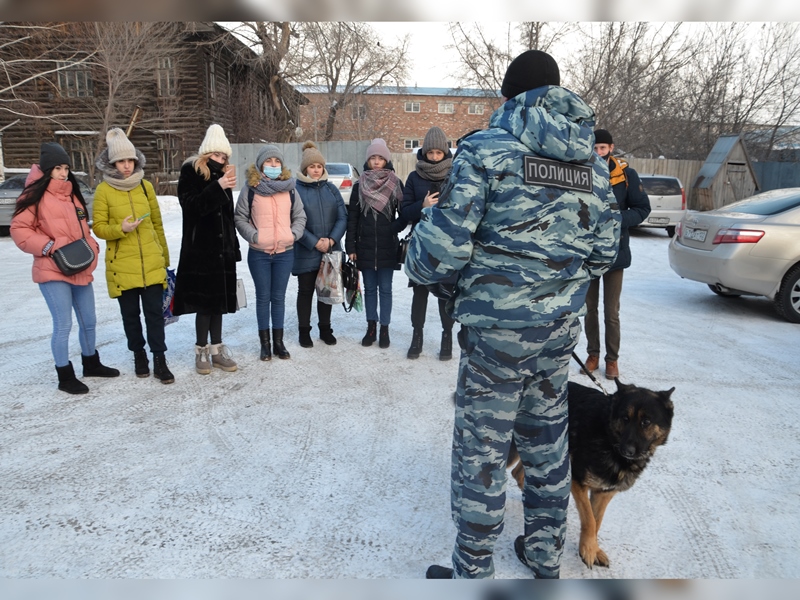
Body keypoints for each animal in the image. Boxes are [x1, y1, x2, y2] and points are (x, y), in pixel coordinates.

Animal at [510, 382, 672, 568]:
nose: (627, 450)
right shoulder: (576, 480)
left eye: (646, 422)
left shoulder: (604, 493)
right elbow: (589, 519)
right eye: (625, 418)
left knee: (518, 473)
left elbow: (597, 520)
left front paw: (593, 548)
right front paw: (588, 549)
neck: (607, 436)